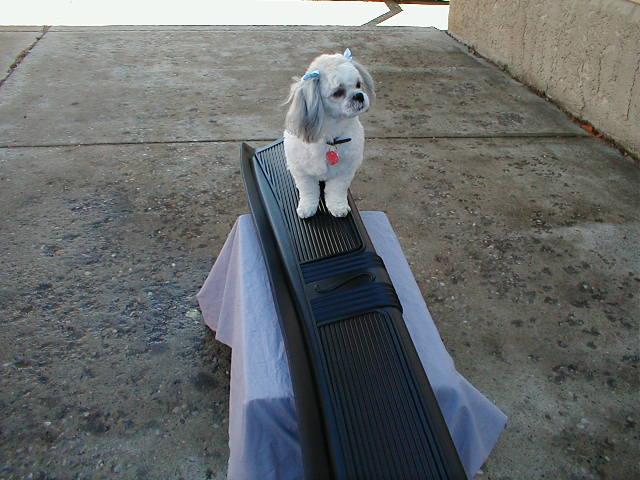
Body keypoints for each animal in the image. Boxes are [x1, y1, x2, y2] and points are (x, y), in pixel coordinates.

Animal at [282, 48, 372, 218]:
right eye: (338, 92)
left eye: (358, 85)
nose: (359, 95)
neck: (331, 136)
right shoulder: (303, 171)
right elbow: (308, 191)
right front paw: (307, 207)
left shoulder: (344, 170)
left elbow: (336, 190)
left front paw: (337, 206)